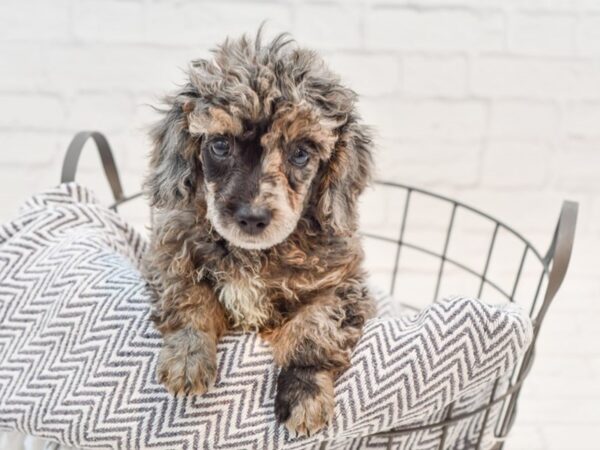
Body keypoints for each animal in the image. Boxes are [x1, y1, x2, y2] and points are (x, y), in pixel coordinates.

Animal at [144, 30, 376, 436]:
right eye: (221, 145)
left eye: (301, 153)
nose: (252, 217)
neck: (254, 254)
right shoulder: (168, 252)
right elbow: (189, 297)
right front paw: (189, 357)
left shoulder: (343, 285)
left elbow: (314, 331)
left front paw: (304, 392)